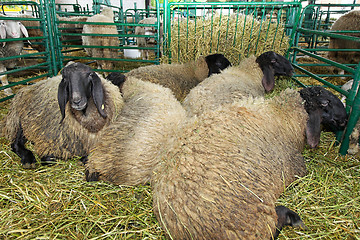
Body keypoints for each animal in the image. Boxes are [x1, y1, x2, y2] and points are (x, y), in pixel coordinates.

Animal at [151, 86, 346, 240]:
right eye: (325, 102)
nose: (345, 119)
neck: (282, 112)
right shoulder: (295, 167)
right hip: (254, 221)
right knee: (274, 224)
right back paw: (293, 218)